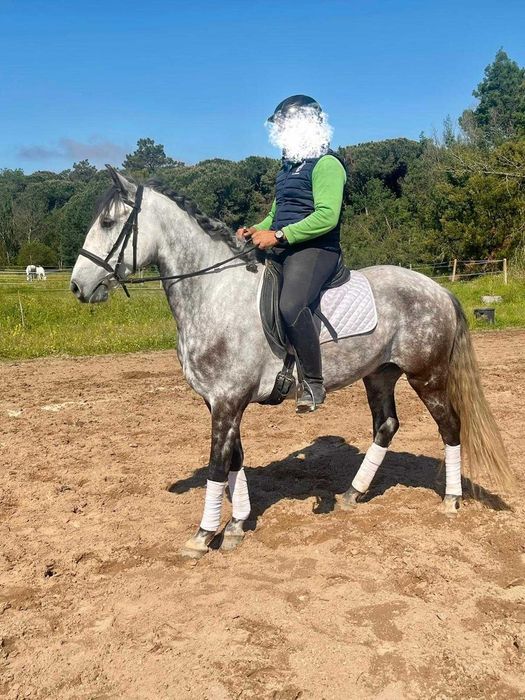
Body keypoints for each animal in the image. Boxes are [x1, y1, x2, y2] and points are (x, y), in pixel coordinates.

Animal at [70, 167, 513, 559]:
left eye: (108, 222)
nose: (78, 286)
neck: (214, 293)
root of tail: (436, 288)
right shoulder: (220, 402)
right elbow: (235, 460)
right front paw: (236, 526)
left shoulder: (228, 400)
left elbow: (217, 465)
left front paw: (202, 536)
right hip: (379, 375)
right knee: (386, 426)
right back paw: (353, 493)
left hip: (427, 375)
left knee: (450, 426)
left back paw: (451, 500)